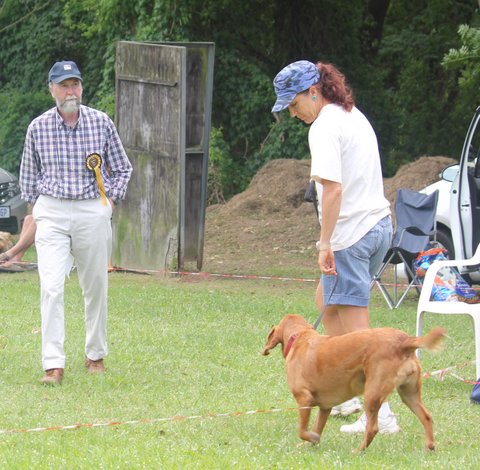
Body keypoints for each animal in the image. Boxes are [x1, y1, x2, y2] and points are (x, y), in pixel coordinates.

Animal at [262, 314, 445, 452]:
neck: (300, 336)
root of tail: (404, 341)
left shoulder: (304, 399)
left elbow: (302, 430)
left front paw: (311, 438)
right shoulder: (325, 407)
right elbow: (317, 427)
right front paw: (312, 442)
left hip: (372, 393)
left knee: (372, 428)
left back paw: (358, 451)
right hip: (409, 394)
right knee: (426, 416)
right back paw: (430, 447)